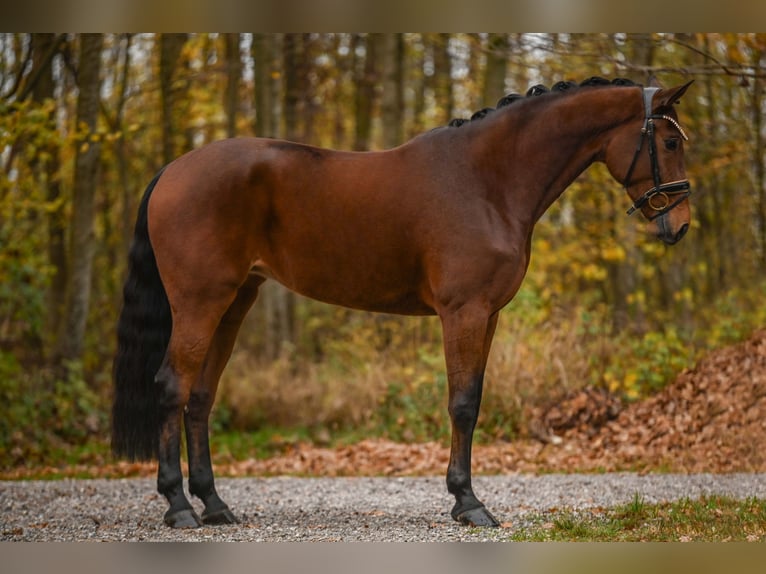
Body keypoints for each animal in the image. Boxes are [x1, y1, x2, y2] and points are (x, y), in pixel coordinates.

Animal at [112, 77, 696, 532]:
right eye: (669, 140)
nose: (682, 225)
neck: (488, 181)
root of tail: (173, 170)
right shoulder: (463, 312)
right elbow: (462, 403)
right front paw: (468, 503)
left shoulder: (488, 316)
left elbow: (474, 399)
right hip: (200, 302)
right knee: (172, 387)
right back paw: (179, 507)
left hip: (234, 303)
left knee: (200, 397)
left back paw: (214, 505)